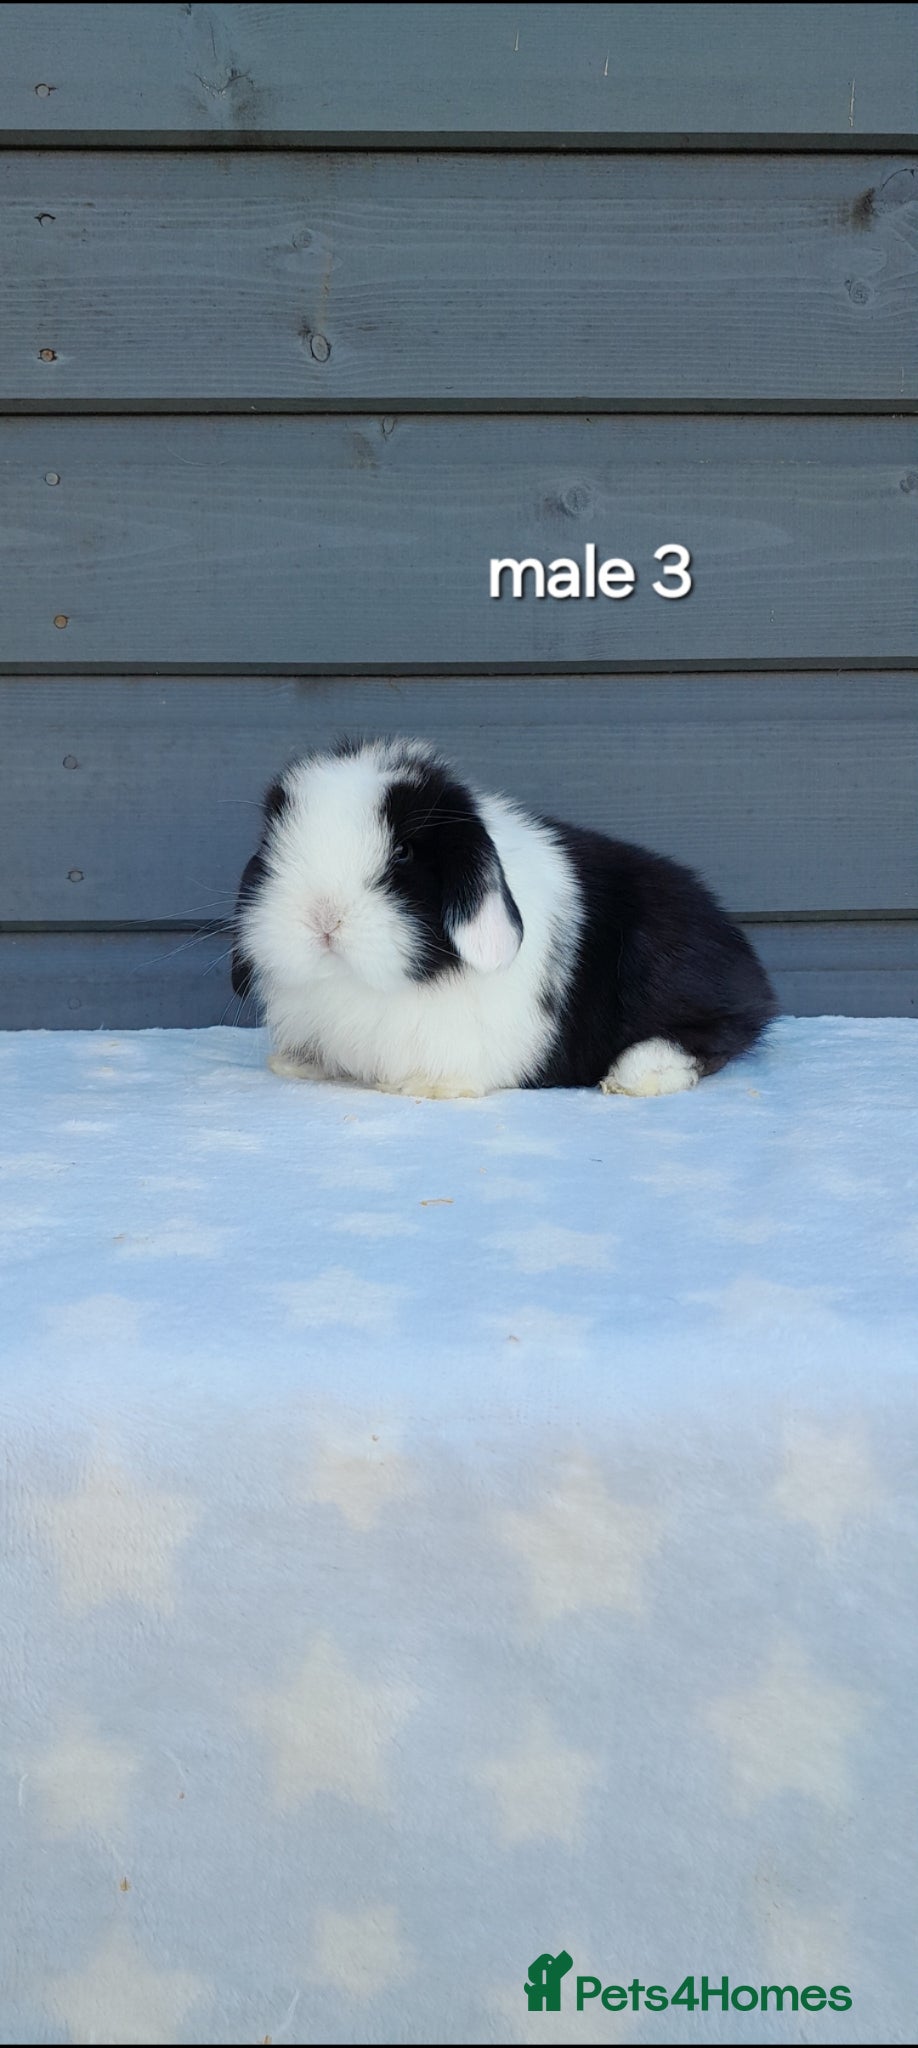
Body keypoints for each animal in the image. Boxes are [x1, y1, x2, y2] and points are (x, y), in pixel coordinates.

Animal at [231, 737, 776, 1098]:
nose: (322, 918)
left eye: (404, 852)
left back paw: (637, 1075)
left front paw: (424, 1087)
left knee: (718, 1034)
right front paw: (293, 1066)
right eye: (274, 849)